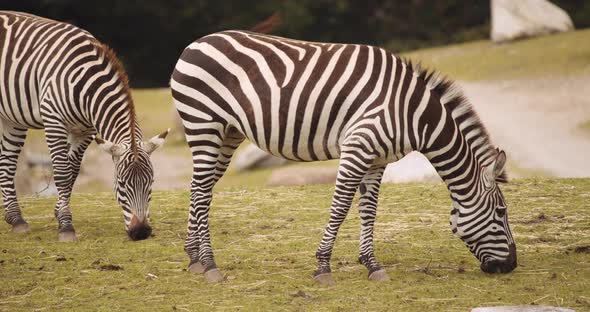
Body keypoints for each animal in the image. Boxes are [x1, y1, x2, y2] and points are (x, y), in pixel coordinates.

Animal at [0, 11, 169, 241]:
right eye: (121, 184)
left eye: (151, 182)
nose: (141, 232)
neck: (85, 86)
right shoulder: (54, 120)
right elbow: (62, 173)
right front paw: (66, 226)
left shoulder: (86, 131)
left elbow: (73, 170)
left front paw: (59, 211)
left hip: (13, 117)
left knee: (7, 161)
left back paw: (16, 218)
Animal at [171, 30, 520, 284]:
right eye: (501, 212)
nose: (512, 265)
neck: (413, 115)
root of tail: (194, 43)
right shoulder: (357, 147)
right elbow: (340, 207)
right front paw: (323, 267)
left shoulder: (378, 159)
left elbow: (369, 211)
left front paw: (372, 265)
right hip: (205, 126)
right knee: (201, 192)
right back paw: (210, 264)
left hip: (227, 134)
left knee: (200, 189)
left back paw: (193, 258)